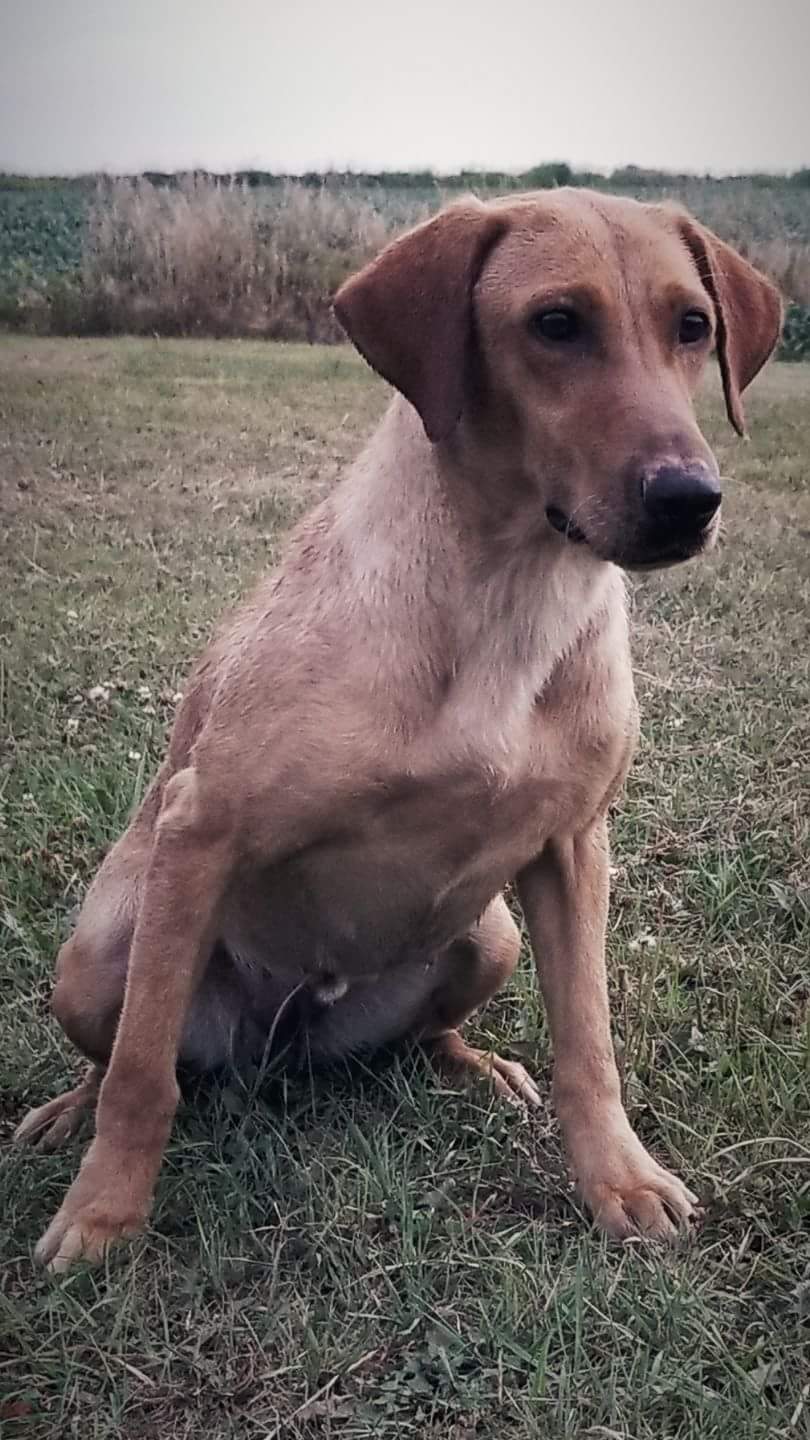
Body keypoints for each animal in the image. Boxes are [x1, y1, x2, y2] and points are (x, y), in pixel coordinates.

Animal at [15, 182, 778, 1272]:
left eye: (693, 326)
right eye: (556, 323)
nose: (689, 499)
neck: (508, 594)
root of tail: (287, 1040)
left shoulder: (573, 846)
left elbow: (588, 1044)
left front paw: (620, 1181)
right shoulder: (201, 831)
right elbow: (142, 1071)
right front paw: (104, 1215)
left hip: (491, 936)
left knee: (427, 1033)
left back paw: (473, 1063)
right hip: (96, 957)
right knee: (125, 1051)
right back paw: (68, 1113)